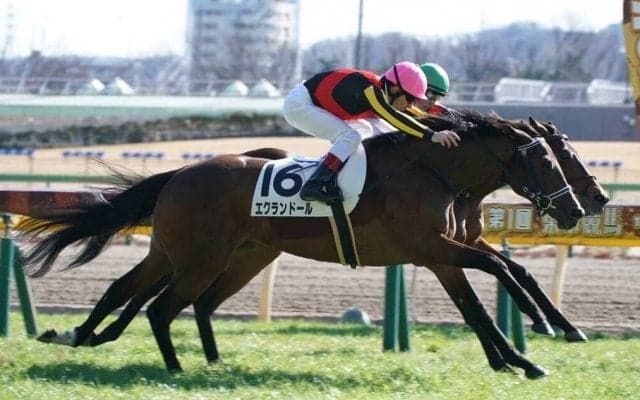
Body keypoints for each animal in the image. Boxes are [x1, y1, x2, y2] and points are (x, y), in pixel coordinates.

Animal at [20, 111, 585, 376]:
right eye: (548, 160)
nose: (579, 209)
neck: (434, 172)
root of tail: (181, 173)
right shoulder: (433, 248)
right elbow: (502, 276)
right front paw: (536, 337)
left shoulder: (443, 252)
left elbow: (486, 298)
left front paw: (531, 348)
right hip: (200, 258)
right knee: (161, 308)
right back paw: (175, 369)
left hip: (208, 254)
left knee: (131, 289)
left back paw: (81, 336)